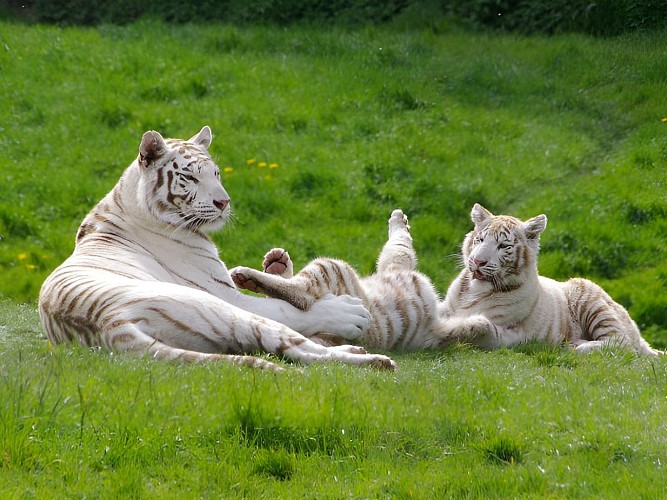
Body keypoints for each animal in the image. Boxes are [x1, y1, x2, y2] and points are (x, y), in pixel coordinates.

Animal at [38, 126, 397, 371]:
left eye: (216, 173)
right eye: (190, 178)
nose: (224, 202)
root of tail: (109, 324)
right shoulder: (223, 292)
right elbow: (289, 309)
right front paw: (348, 312)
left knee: (291, 352)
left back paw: (360, 355)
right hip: (222, 310)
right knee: (288, 338)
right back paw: (370, 357)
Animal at [230, 209, 449, 349]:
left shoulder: (397, 262)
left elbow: (399, 242)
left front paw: (398, 219)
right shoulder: (398, 261)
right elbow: (400, 242)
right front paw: (398, 219)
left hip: (332, 267)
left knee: (301, 294)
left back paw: (255, 273)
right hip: (335, 268)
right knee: (299, 294)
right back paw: (270, 268)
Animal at [439, 203, 661, 355]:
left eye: (503, 246)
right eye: (480, 239)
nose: (478, 261)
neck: (473, 290)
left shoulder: (506, 328)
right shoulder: (447, 308)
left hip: (590, 298)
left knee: (624, 345)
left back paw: (577, 345)